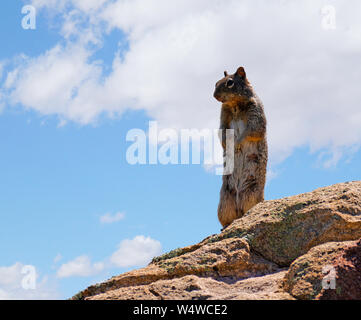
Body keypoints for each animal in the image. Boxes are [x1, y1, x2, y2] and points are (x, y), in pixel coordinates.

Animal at [212, 67, 266, 228]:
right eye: (216, 82)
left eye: (230, 83)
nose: (215, 95)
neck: (234, 103)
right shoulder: (224, 116)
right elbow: (222, 132)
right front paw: (227, 145)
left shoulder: (256, 112)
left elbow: (253, 130)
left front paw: (237, 144)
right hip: (224, 202)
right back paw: (225, 226)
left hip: (251, 193)